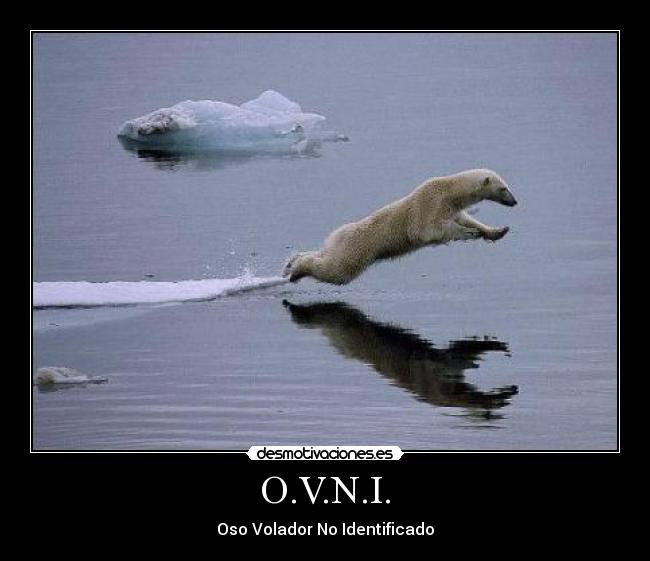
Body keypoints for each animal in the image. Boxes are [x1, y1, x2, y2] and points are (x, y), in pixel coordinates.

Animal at [282, 168, 517, 285]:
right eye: (503, 188)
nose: (515, 202)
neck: (448, 191)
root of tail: (337, 234)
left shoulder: (450, 208)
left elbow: (465, 219)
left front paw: (496, 231)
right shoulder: (429, 203)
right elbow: (429, 230)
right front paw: (470, 232)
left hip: (339, 242)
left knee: (324, 254)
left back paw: (291, 262)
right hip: (356, 249)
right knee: (336, 270)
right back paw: (296, 270)